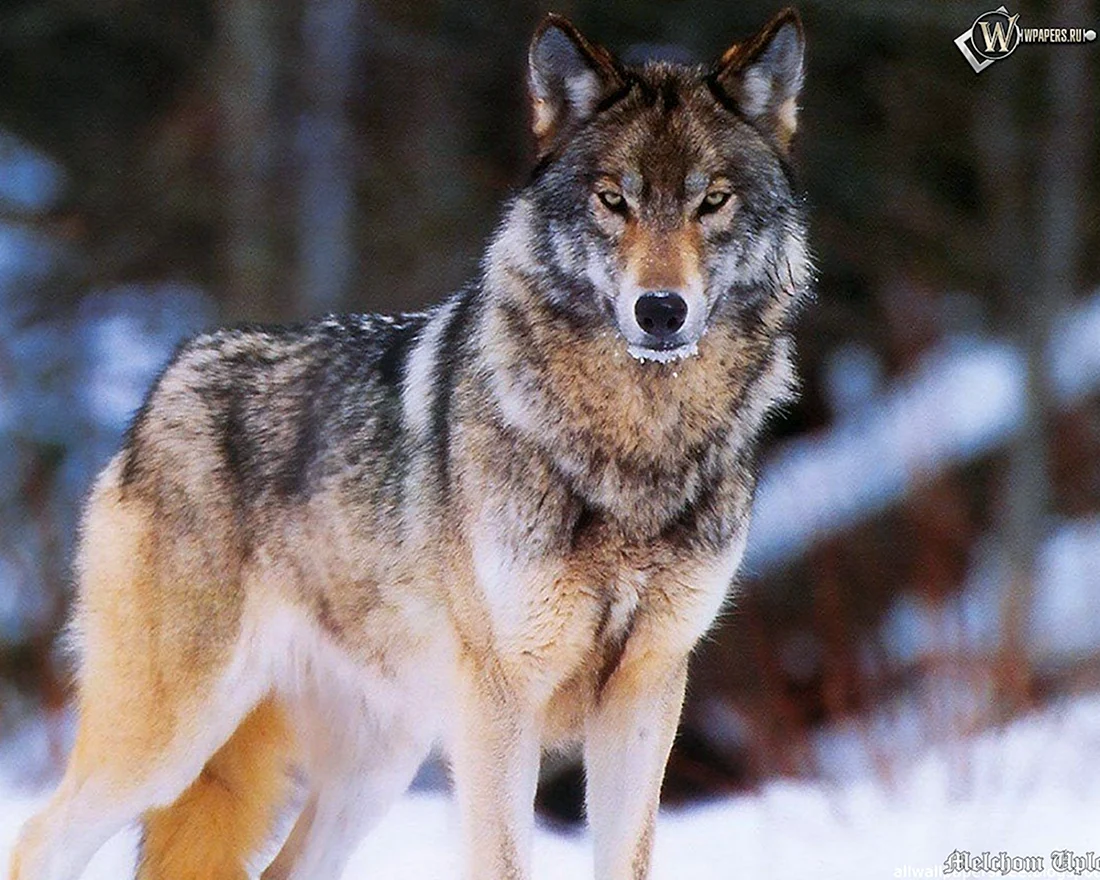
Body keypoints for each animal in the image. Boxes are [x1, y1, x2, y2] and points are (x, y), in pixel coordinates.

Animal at [11, 8, 810, 880]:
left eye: (713, 202)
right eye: (612, 200)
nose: (661, 311)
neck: (636, 446)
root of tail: (168, 378)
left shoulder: (648, 690)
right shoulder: (502, 700)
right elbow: (504, 862)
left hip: (375, 767)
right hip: (167, 744)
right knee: (37, 841)